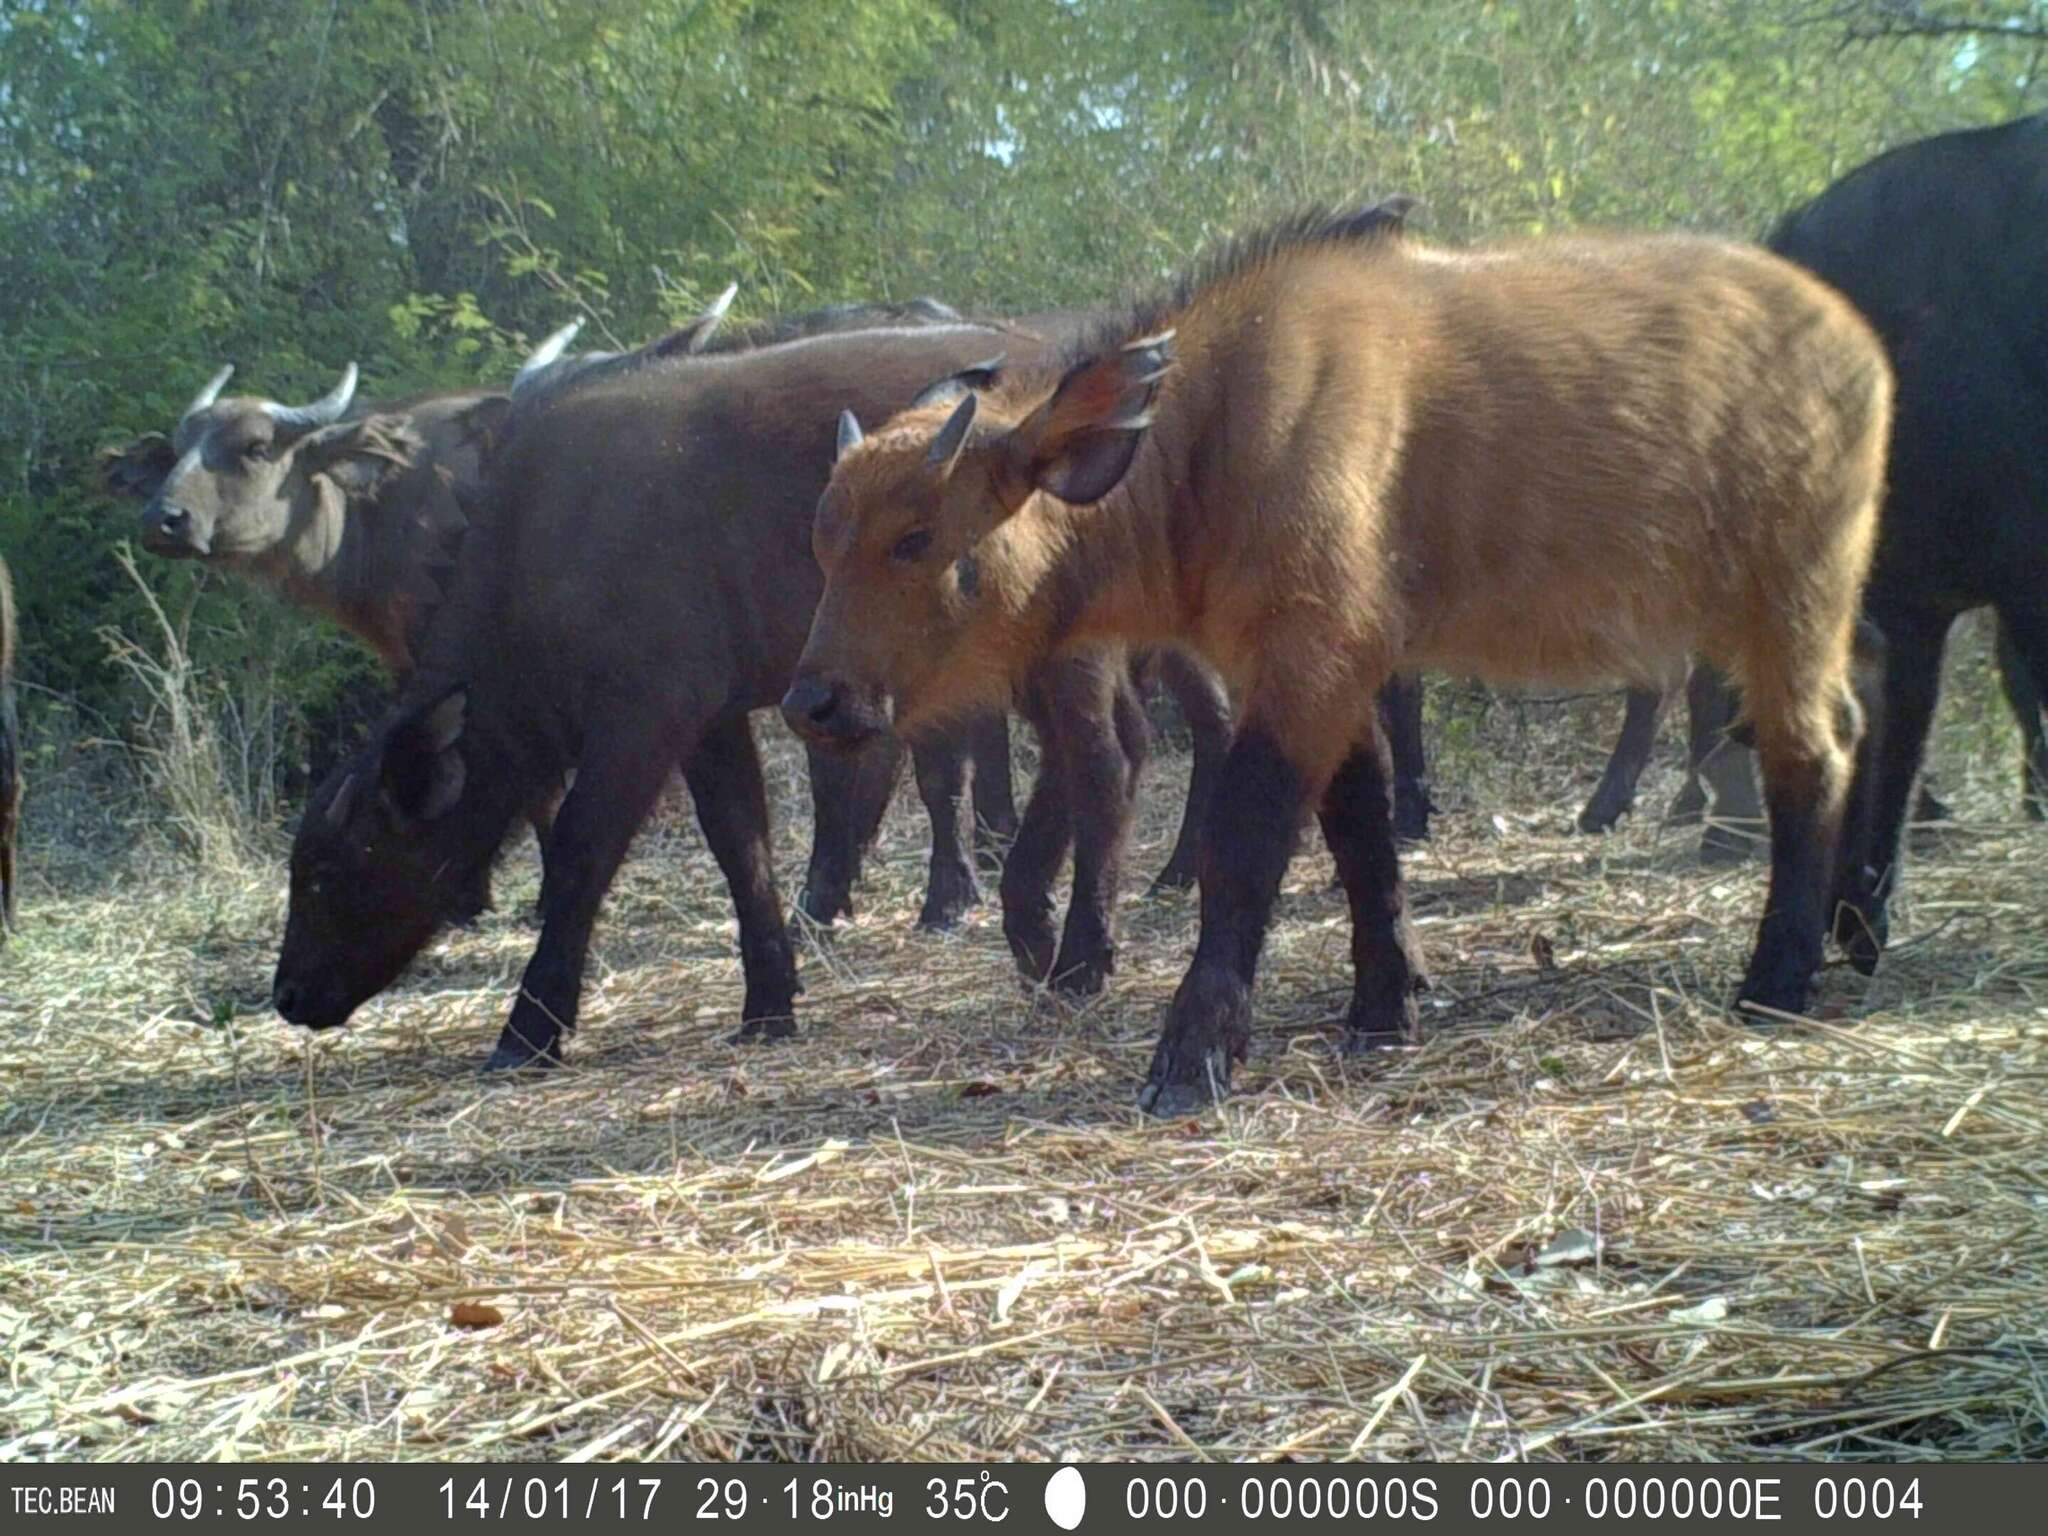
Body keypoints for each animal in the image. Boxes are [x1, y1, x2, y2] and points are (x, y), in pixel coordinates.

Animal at [268, 325, 1155, 1073]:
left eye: (323, 871)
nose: (287, 996)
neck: (545, 541)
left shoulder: (643, 714)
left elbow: (582, 853)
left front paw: (531, 1025)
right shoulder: (710, 718)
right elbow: (741, 845)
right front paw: (770, 1000)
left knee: (1100, 760)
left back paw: (1073, 948)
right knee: (1106, 747)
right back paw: (1031, 921)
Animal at [782, 207, 1884, 1122]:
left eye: (916, 539)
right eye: (823, 543)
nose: (812, 702)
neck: (1217, 432)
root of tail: (1848, 337)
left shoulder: (1307, 661)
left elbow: (1248, 841)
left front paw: (1193, 1053)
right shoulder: (1329, 668)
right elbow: (1361, 833)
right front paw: (1382, 1003)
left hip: (1792, 599)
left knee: (1812, 753)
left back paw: (1778, 974)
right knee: (1857, 718)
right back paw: (1859, 923)